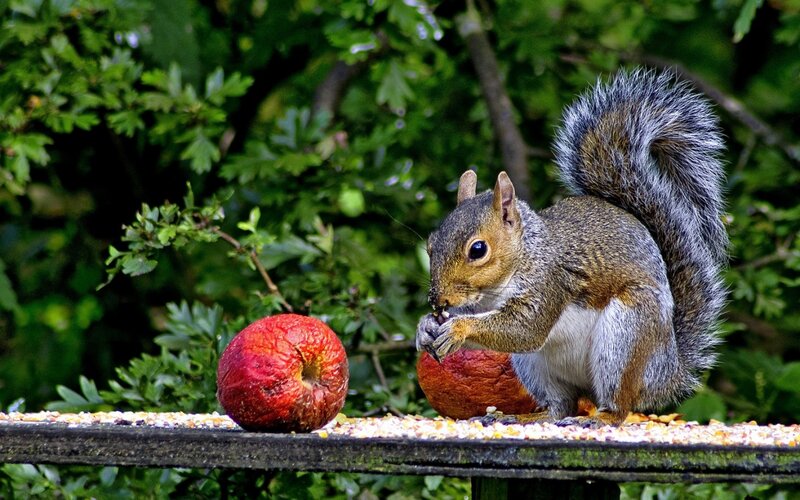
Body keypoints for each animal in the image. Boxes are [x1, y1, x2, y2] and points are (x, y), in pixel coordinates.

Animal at [416, 69, 728, 427]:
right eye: (431, 244)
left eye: (478, 250)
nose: (437, 300)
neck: (524, 256)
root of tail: (666, 371)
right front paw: (425, 327)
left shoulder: (551, 282)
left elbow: (525, 329)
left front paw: (458, 328)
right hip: (535, 366)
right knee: (559, 405)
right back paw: (524, 418)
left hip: (626, 337)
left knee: (618, 405)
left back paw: (597, 419)